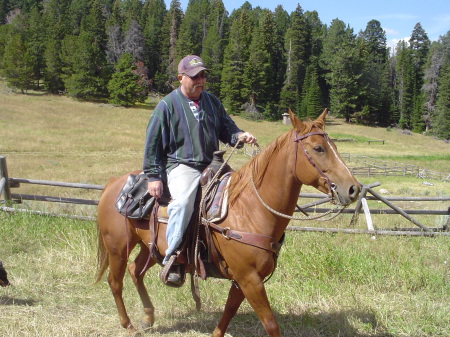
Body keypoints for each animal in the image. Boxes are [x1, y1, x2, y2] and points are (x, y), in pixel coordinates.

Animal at [96, 109, 362, 334]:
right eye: (318, 148)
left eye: (333, 145)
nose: (353, 189)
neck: (249, 209)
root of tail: (113, 183)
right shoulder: (249, 279)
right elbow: (270, 324)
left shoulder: (243, 279)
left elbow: (228, 313)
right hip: (118, 248)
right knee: (115, 282)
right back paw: (129, 325)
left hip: (150, 248)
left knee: (135, 271)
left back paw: (148, 317)